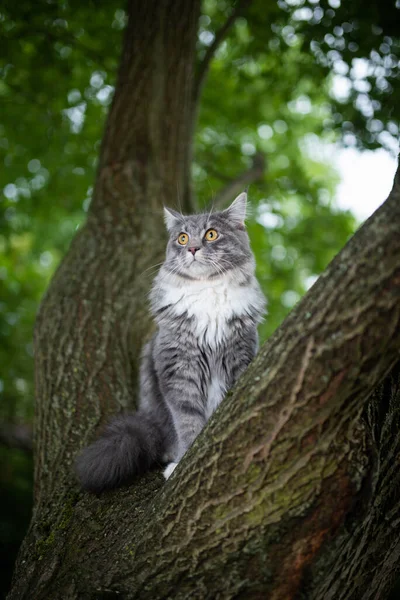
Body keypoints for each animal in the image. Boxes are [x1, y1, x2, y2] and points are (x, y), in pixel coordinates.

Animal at [76, 193, 268, 492]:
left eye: (211, 234)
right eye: (182, 238)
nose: (192, 249)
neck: (207, 292)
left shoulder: (239, 358)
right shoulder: (178, 369)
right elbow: (188, 422)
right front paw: (183, 462)